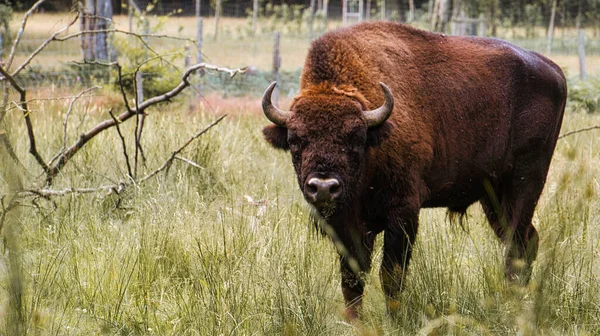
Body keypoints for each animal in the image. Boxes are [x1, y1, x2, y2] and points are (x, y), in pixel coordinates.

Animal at [260, 21, 564, 318]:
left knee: (518, 244)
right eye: (295, 140)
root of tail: (554, 71)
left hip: (524, 185)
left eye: (356, 138)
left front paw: (395, 319)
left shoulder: (403, 212)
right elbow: (352, 277)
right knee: (524, 240)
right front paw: (354, 321)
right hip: (492, 197)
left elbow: (391, 275)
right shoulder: (347, 226)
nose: (323, 187)